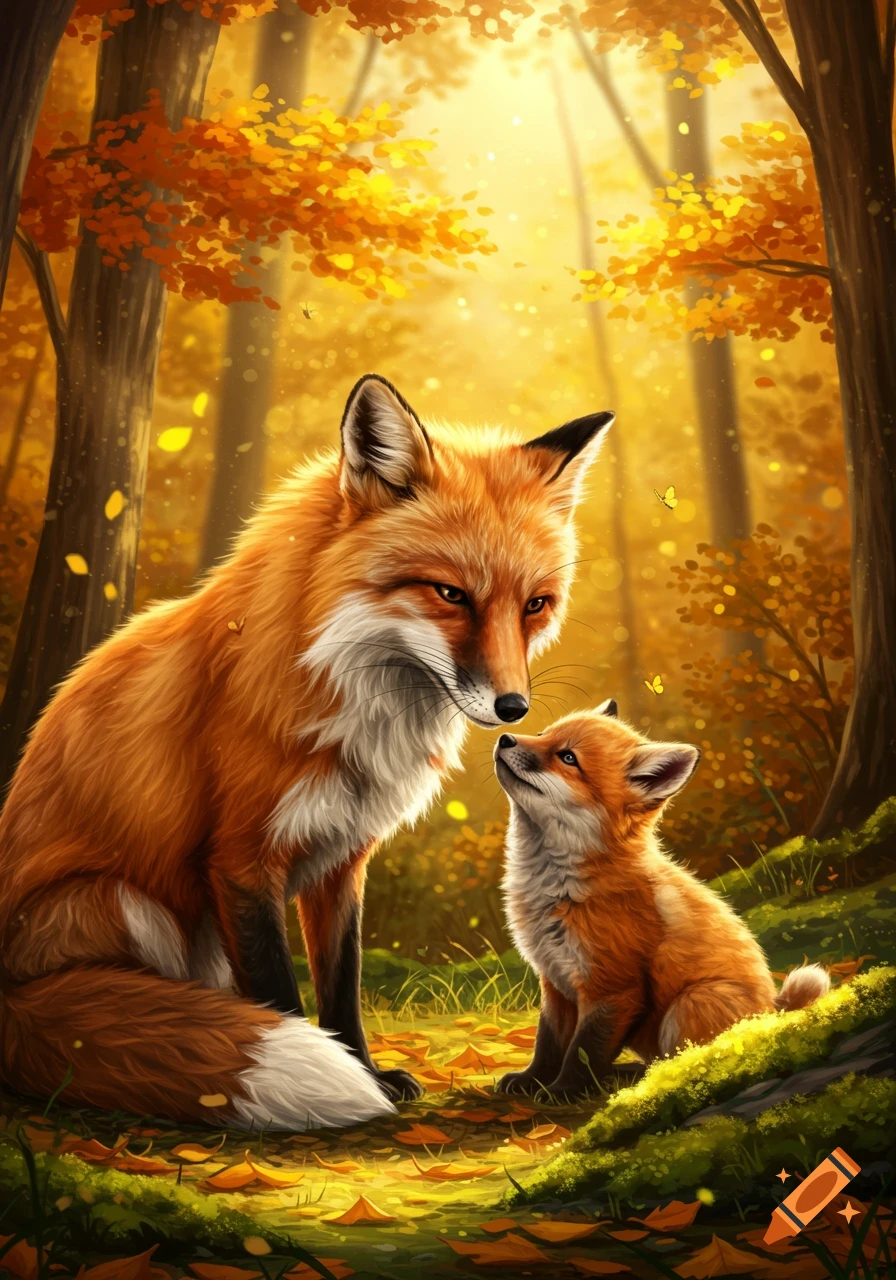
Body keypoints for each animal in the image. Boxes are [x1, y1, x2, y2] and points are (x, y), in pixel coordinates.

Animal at [0, 374, 615, 1131]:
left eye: (535, 604)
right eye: (449, 593)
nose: (513, 708)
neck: (347, 698)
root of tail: (8, 1001)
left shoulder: (342, 857)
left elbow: (340, 984)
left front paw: (367, 1072)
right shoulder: (239, 861)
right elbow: (276, 990)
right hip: (121, 902)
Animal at [493, 702, 831, 1097]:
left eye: (567, 757)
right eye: (543, 733)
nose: (505, 737)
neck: (555, 888)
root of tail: (772, 1013)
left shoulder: (614, 989)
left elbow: (583, 1052)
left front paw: (562, 1091)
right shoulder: (554, 983)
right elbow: (547, 1044)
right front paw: (531, 1080)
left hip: (691, 1003)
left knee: (690, 1061)